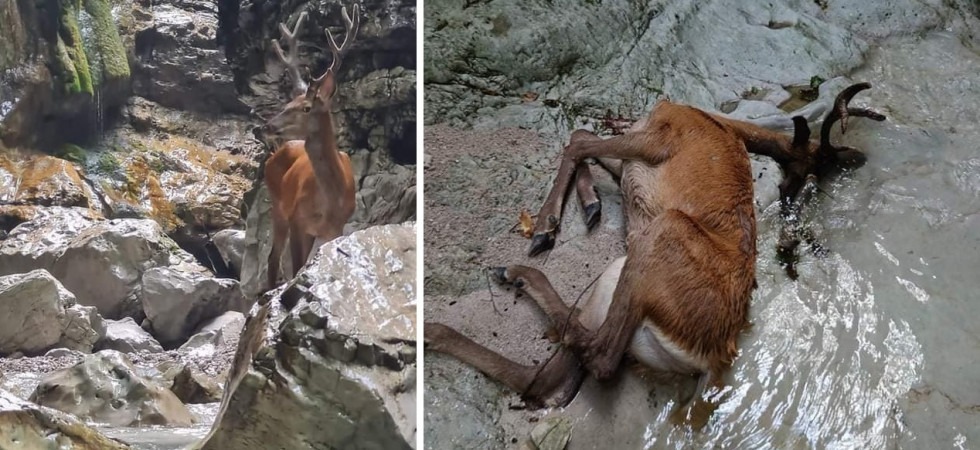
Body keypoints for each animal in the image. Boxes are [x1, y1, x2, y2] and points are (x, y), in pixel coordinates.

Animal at [259, 5, 360, 291]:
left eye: (305, 108)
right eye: (287, 103)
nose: (267, 126)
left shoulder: (336, 229)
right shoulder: (297, 220)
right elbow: (295, 269)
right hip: (277, 205)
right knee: (272, 258)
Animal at [425, 83, 885, 426]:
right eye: (793, 184)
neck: (710, 117)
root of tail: (712, 355)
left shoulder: (657, 138)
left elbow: (577, 142)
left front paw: (545, 226)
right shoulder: (635, 161)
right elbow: (584, 140)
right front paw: (589, 203)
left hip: (662, 233)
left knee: (595, 358)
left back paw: (483, 295)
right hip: (617, 279)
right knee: (552, 378)